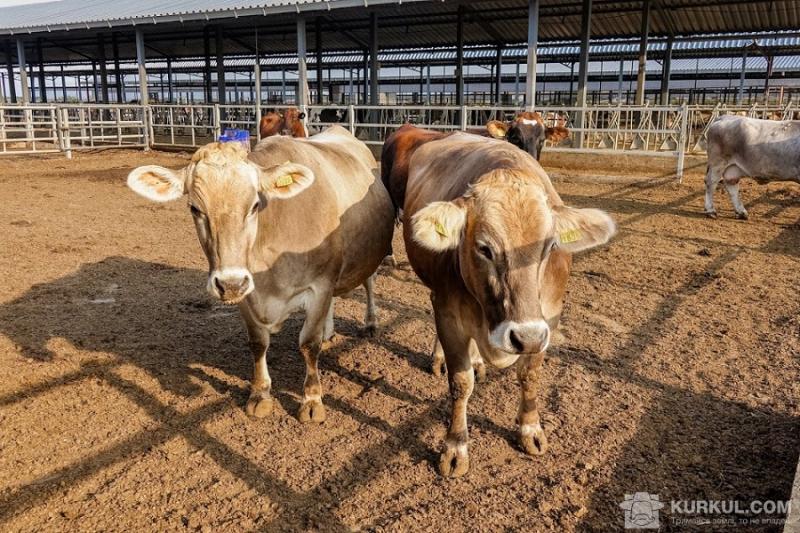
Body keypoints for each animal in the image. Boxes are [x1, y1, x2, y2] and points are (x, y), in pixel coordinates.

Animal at [126, 127, 396, 422]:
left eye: (255, 205)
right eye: (195, 209)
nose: (230, 283)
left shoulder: (320, 284)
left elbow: (309, 344)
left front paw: (312, 400)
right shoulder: (247, 291)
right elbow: (258, 343)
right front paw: (259, 394)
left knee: (369, 282)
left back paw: (370, 322)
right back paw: (329, 330)